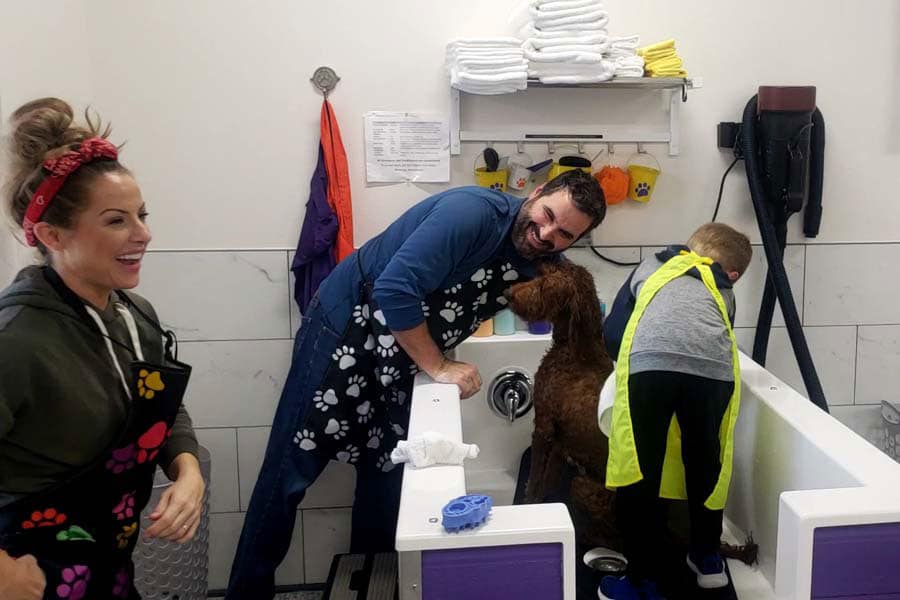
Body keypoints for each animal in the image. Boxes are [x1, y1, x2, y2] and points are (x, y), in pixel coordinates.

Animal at [506, 260, 620, 552]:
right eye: (541, 275)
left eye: (546, 286)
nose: (508, 293)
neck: (575, 349)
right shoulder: (559, 439)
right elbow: (548, 479)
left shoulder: (543, 427)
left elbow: (535, 478)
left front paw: (528, 506)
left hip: (583, 486)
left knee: (612, 537)